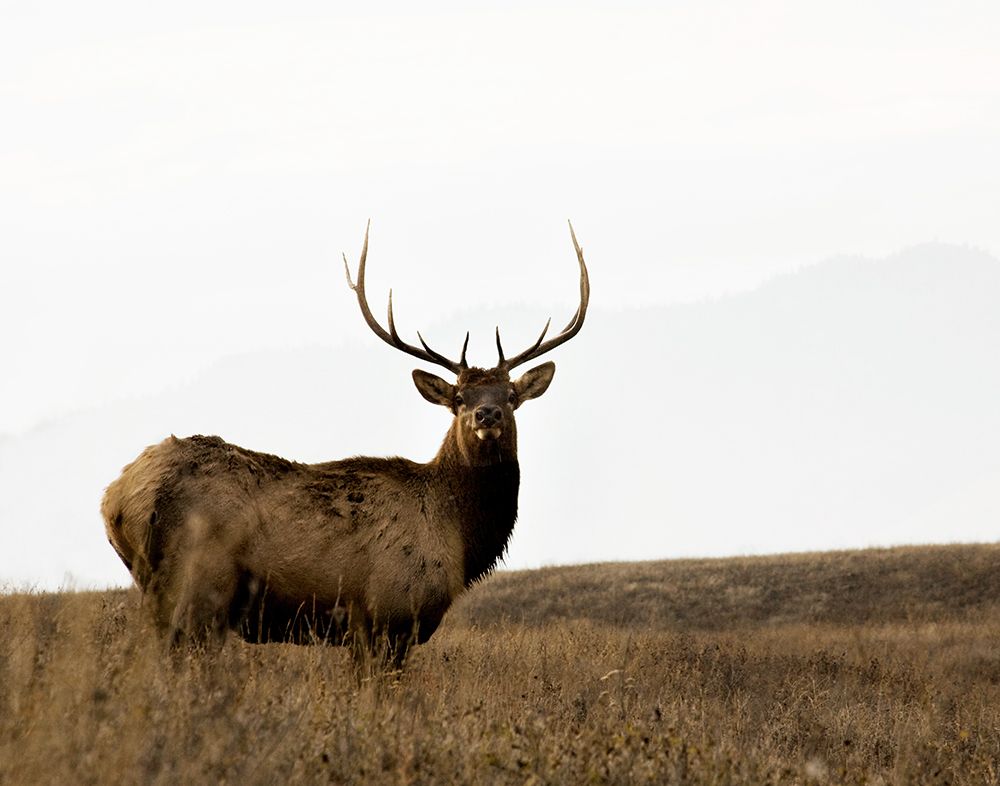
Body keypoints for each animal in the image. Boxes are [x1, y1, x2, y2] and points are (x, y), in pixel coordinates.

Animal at [101, 224, 588, 664]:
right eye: (458, 399)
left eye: (510, 395)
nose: (487, 415)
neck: (460, 536)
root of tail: (117, 497)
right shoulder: (388, 613)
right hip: (198, 584)